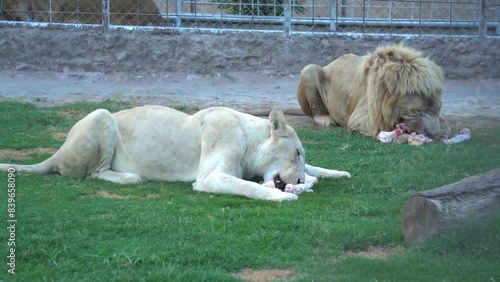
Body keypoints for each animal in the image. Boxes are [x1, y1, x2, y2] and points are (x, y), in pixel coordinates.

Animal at [0, 106, 352, 200]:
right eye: (296, 153)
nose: (299, 180)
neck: (250, 138)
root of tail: (57, 153)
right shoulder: (209, 177)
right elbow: (246, 186)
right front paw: (283, 196)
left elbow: (322, 168)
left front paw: (338, 173)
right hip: (101, 115)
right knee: (93, 172)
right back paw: (130, 176)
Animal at [298, 43, 452, 140]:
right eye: (418, 110)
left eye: (437, 108)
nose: (433, 134)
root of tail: (328, 64)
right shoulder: (362, 120)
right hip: (309, 69)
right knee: (316, 113)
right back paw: (326, 120)